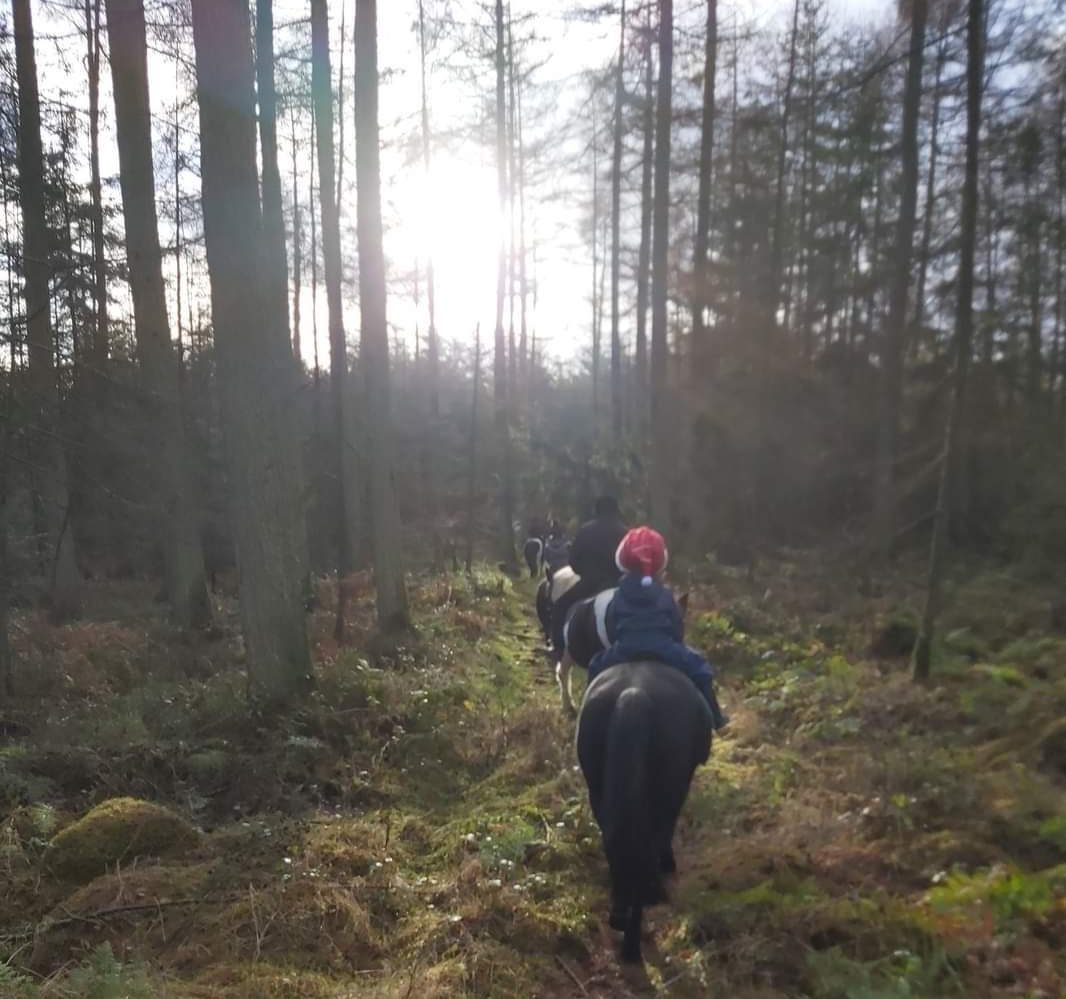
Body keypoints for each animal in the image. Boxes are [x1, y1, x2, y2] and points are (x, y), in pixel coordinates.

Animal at [576, 662, 712, 963]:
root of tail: (634, 694)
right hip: (665, 795)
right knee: (645, 853)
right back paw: (632, 944)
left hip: (600, 792)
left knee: (618, 847)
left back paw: (619, 918)